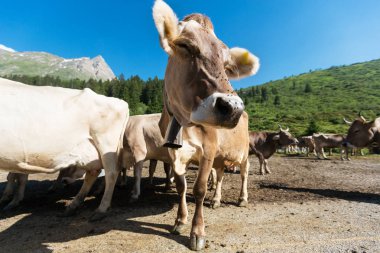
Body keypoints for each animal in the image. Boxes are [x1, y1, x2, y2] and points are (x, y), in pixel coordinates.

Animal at [0, 77, 129, 219]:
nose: (66, 182)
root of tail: (119, 101)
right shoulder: (20, 157)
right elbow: (16, 176)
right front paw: (11, 199)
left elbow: (18, 177)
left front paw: (11, 200)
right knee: (93, 172)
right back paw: (73, 205)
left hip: (106, 143)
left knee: (111, 173)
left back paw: (101, 209)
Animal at [153, 0, 260, 250]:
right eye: (184, 45)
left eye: (227, 65)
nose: (233, 107)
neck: (184, 124)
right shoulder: (173, 152)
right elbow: (181, 186)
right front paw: (180, 221)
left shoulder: (209, 149)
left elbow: (199, 188)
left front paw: (197, 232)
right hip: (221, 158)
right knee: (219, 176)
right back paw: (217, 199)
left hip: (243, 152)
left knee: (244, 173)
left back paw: (242, 199)